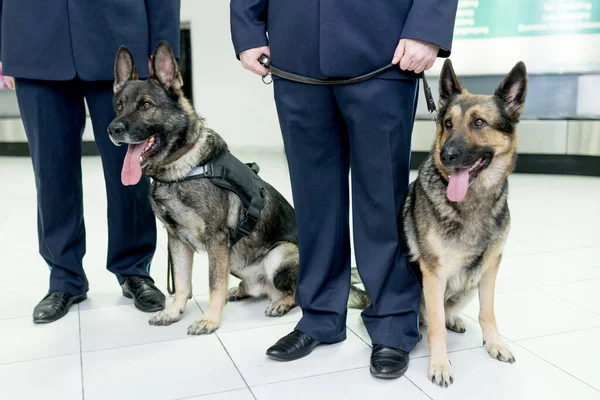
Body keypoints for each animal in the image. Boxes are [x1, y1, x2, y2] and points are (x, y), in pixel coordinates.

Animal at [400, 57, 528, 386]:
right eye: (447, 124)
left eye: (479, 123)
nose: (447, 155)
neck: (472, 202)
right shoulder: (433, 274)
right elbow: (435, 328)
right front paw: (439, 365)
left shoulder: (491, 266)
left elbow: (488, 312)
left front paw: (494, 344)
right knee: (426, 319)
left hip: (469, 285)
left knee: (447, 310)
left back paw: (454, 319)